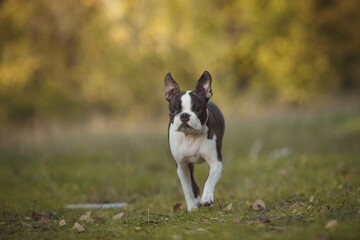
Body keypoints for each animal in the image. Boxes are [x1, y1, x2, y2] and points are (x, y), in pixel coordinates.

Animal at [164, 70, 225, 211]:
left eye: (197, 109)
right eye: (173, 110)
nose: (184, 116)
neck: (190, 136)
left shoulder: (216, 162)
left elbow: (210, 180)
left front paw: (207, 198)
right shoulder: (181, 165)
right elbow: (187, 187)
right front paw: (192, 207)